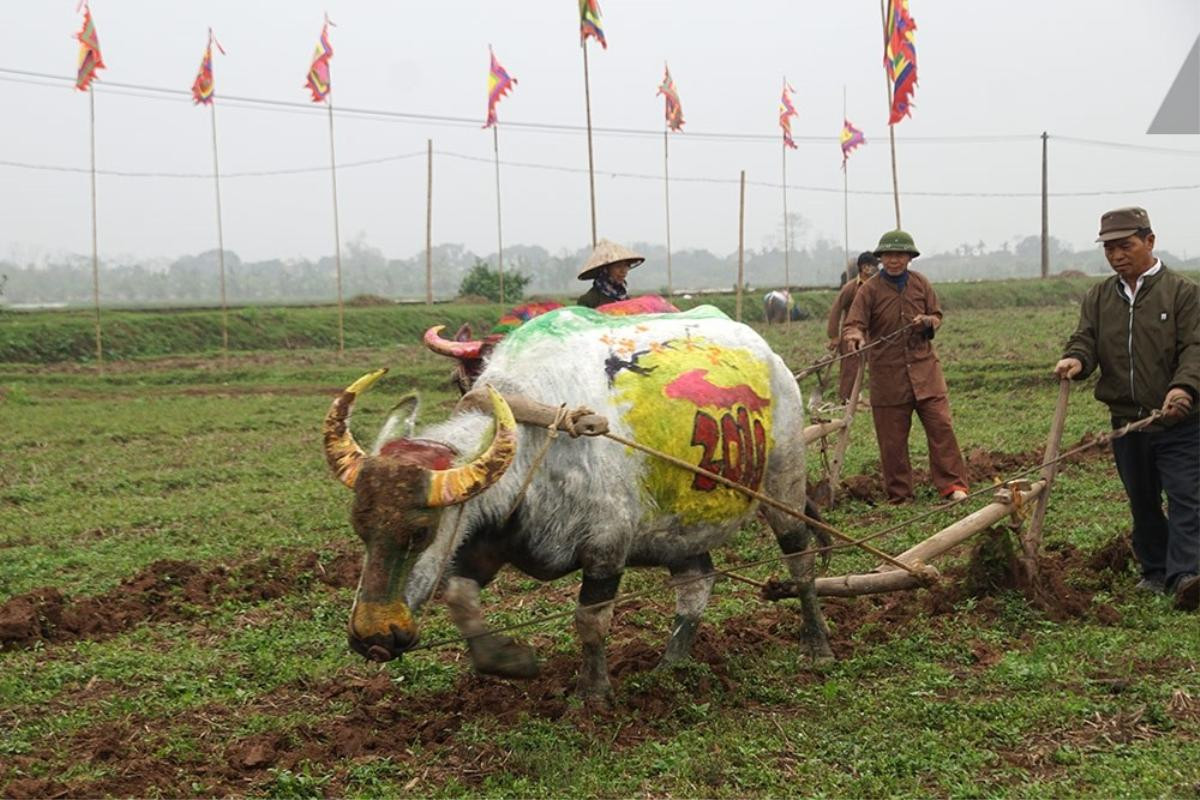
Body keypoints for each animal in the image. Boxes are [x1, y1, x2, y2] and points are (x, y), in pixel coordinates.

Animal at [328, 303, 835, 705]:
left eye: (420, 532)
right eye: (359, 527)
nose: (373, 638)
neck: (538, 436)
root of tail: (773, 359)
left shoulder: (606, 549)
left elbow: (590, 621)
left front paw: (592, 695)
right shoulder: (487, 539)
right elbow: (460, 598)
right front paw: (510, 661)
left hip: (785, 485)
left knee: (800, 560)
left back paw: (817, 645)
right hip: (679, 529)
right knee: (697, 584)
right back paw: (670, 668)